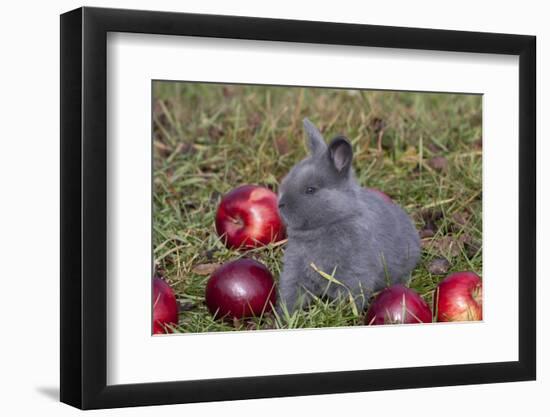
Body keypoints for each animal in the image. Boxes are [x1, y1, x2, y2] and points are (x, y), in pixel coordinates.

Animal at [278, 118, 420, 314]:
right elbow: (291, 295)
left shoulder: (354, 274)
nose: (280, 204)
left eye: (310, 190)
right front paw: (283, 316)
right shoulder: (294, 273)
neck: (332, 221)